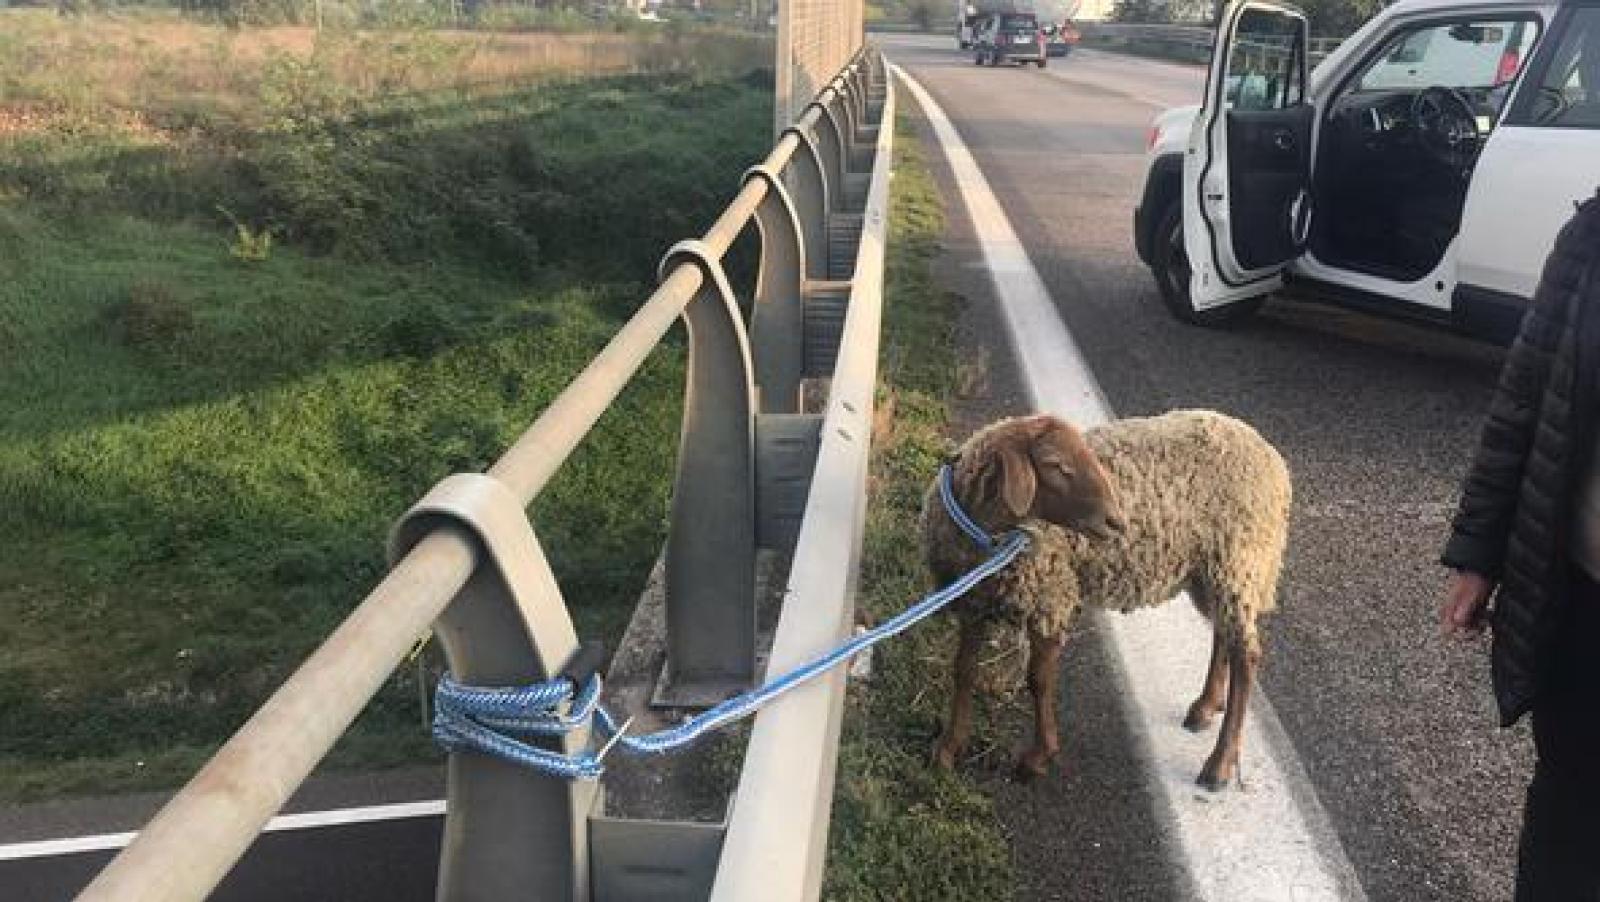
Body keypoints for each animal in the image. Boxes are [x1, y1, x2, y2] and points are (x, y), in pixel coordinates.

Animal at [919, 409, 1291, 791]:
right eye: (1055, 464)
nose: (1117, 521)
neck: (988, 543)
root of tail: (1269, 456)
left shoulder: (1051, 597)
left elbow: (1038, 681)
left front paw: (1039, 756)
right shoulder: (971, 602)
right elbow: (963, 671)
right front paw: (948, 749)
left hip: (1238, 558)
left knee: (1247, 657)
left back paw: (1219, 764)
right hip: (1211, 570)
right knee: (1224, 635)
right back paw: (1205, 707)